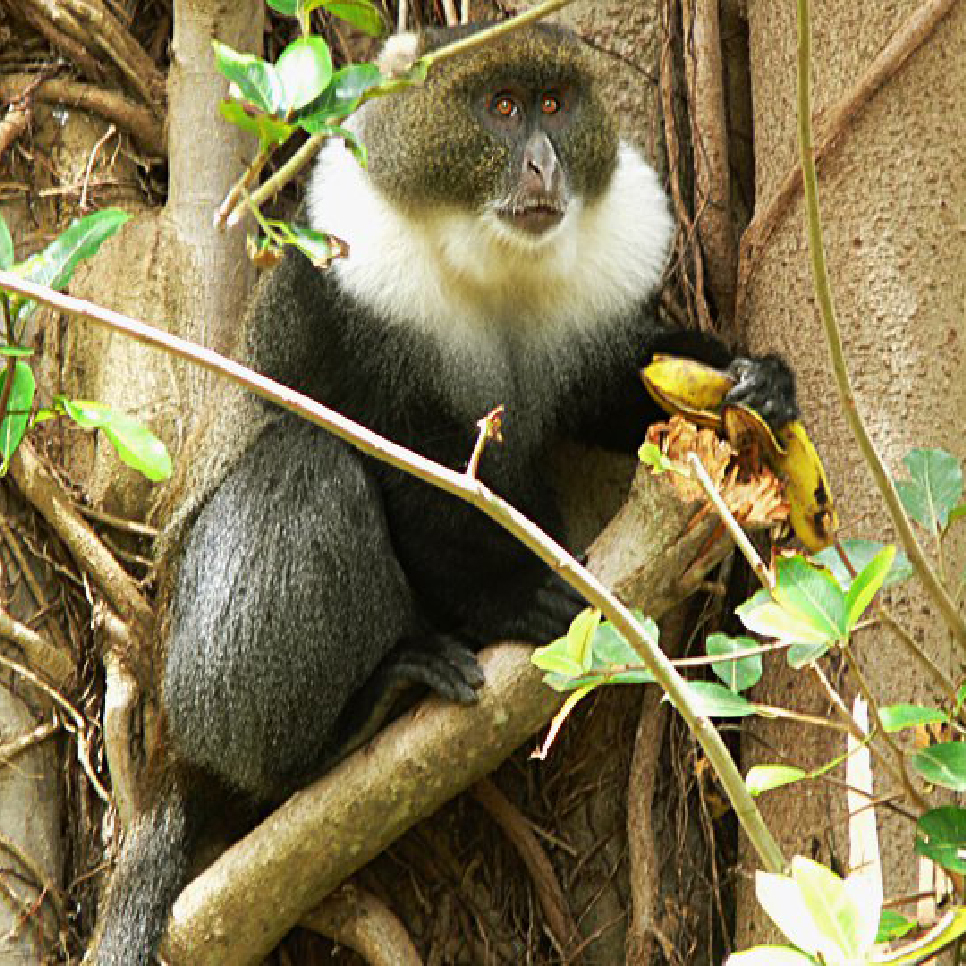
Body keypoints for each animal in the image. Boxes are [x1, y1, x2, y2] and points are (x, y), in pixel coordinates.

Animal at [89, 22, 798, 966]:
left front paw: (758, 383)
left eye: (553, 105)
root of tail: (165, 738)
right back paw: (340, 731)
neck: (494, 263)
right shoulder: (347, 291)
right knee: (307, 468)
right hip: (202, 681)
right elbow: (405, 469)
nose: (542, 165)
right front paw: (512, 599)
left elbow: (608, 384)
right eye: (499, 108)